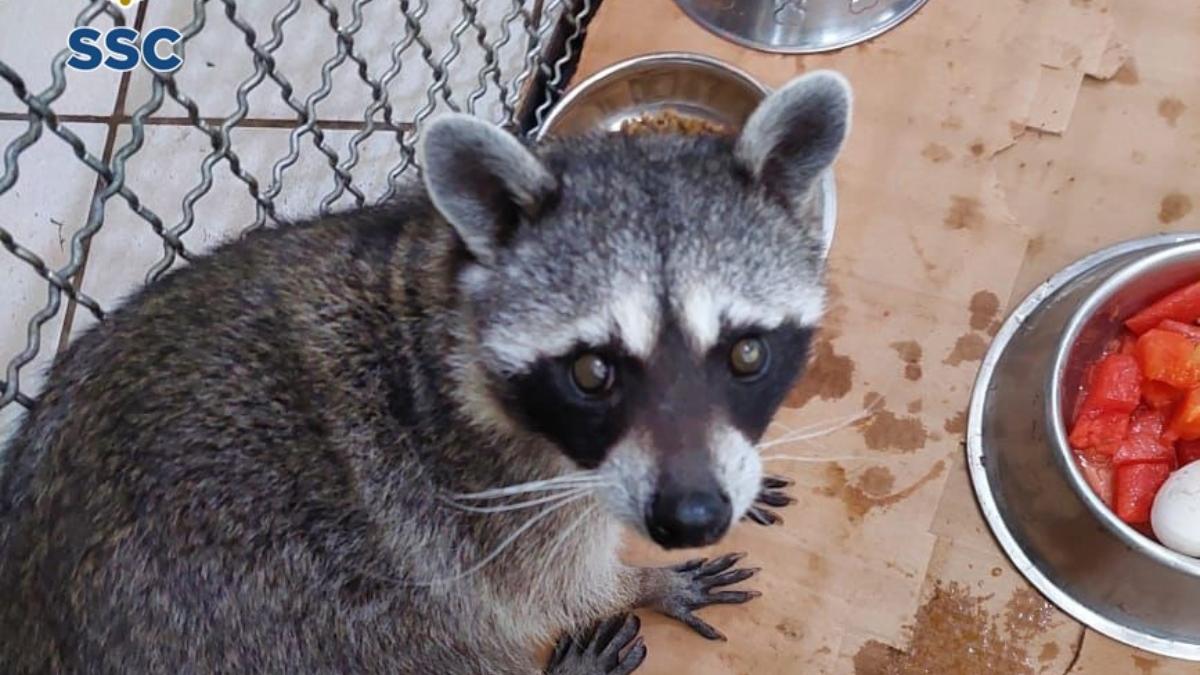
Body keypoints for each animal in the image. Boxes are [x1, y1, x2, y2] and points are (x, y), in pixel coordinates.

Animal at [0, 70, 849, 667]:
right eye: (592, 372)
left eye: (745, 352)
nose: (691, 514)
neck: (444, 294)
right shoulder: (481, 496)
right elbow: (544, 587)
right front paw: (640, 582)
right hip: (305, 625)